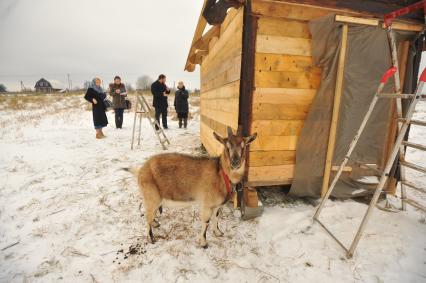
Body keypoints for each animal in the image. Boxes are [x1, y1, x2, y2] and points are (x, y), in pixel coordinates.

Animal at [125, 127, 255, 248]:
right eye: (226, 146)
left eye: (244, 146)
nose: (235, 163)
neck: (221, 173)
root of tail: (141, 170)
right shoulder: (207, 204)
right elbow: (206, 222)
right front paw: (203, 243)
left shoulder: (217, 205)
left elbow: (216, 218)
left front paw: (218, 233)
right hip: (151, 196)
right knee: (148, 217)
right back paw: (151, 238)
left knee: (151, 214)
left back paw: (155, 223)